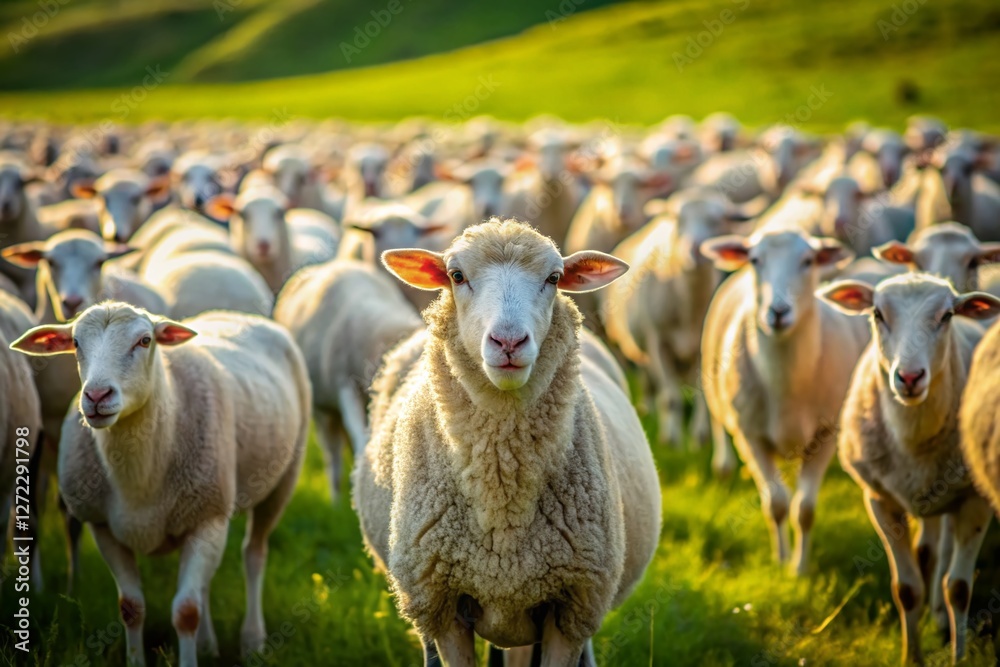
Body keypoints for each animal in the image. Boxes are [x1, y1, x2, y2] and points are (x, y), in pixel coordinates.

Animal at [11, 302, 310, 666]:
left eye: (144, 340)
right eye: (76, 343)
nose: (96, 395)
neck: (138, 481)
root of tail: (238, 315)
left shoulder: (207, 518)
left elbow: (186, 612)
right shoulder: (103, 527)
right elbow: (131, 608)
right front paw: (137, 659)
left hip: (282, 479)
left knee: (253, 555)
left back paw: (252, 639)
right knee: (206, 582)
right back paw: (208, 643)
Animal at [602, 187, 749, 454]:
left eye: (717, 221)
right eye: (679, 220)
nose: (695, 249)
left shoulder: (702, 347)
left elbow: (703, 393)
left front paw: (700, 438)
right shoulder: (657, 342)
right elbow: (670, 398)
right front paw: (673, 443)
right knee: (652, 384)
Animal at [700, 229, 869, 573]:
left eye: (808, 261)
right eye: (755, 260)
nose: (778, 312)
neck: (785, 383)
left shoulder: (825, 434)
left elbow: (804, 509)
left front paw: (799, 570)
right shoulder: (750, 436)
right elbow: (776, 503)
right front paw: (779, 562)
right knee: (717, 419)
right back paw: (722, 467)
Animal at [819, 274, 1000, 665]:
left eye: (947, 315)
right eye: (876, 313)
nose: (910, 376)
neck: (913, 435)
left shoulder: (975, 500)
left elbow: (959, 589)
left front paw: (958, 656)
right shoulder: (879, 499)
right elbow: (906, 588)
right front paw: (910, 656)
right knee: (929, 551)